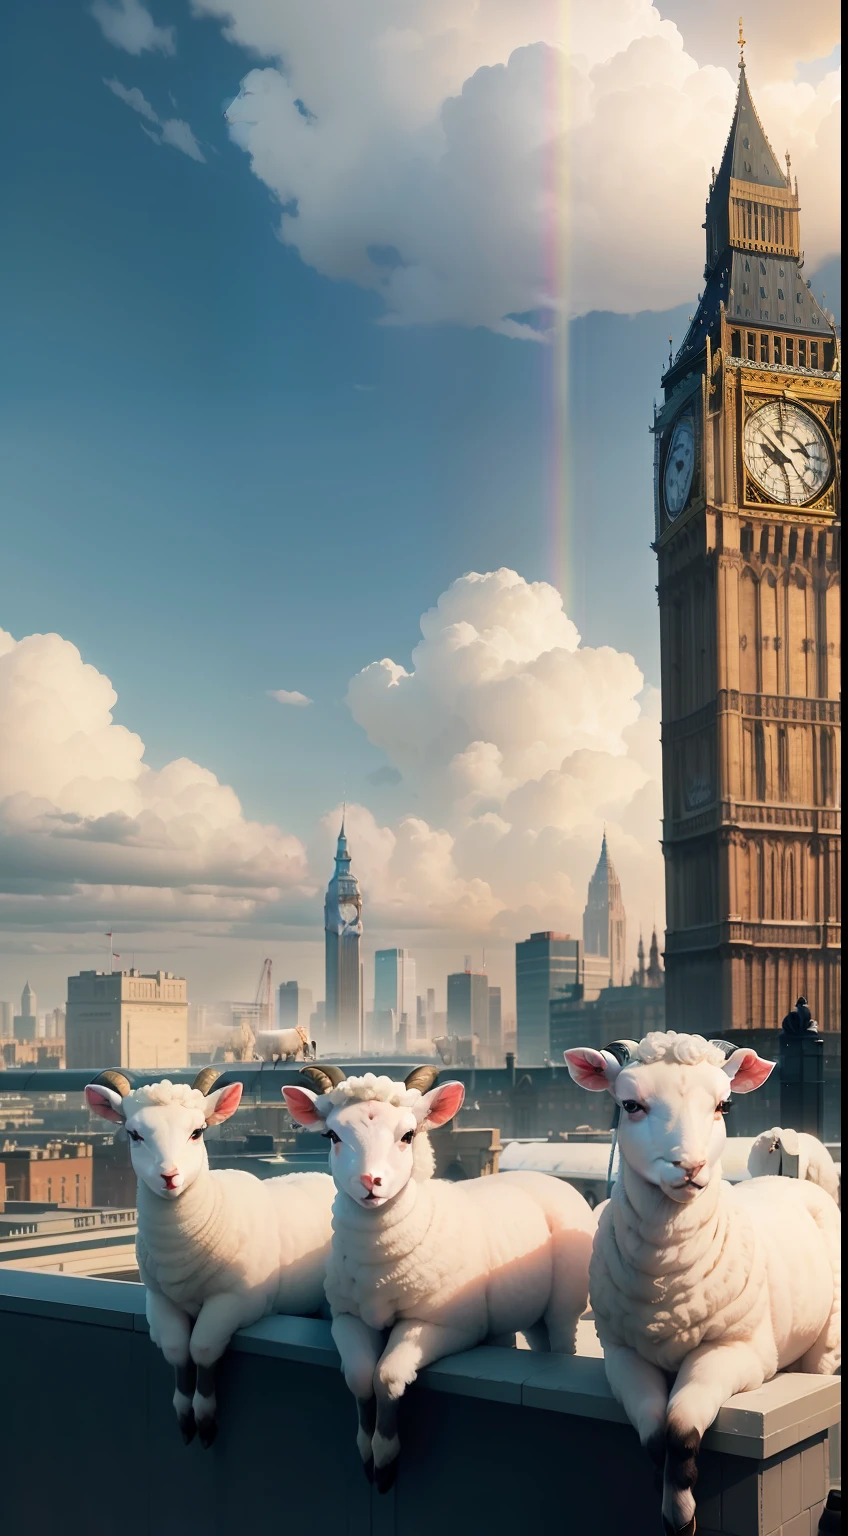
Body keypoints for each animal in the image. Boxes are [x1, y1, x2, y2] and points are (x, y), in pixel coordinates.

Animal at [284, 1069, 596, 1486]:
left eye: (408, 1135)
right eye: (331, 1135)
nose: (370, 1181)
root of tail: (545, 1178)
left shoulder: (445, 1324)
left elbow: (387, 1376)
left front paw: (386, 1460)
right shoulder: (347, 1315)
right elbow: (360, 1375)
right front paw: (366, 1453)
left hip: (565, 1303)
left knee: (562, 1341)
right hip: (526, 1309)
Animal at [562, 1032, 841, 1536]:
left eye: (723, 1105)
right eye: (630, 1104)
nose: (688, 1167)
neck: (665, 1287)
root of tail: (784, 1176)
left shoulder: (741, 1350)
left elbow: (680, 1424)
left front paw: (683, 1514)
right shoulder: (622, 1355)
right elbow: (655, 1430)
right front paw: (669, 1497)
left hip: (824, 1342)